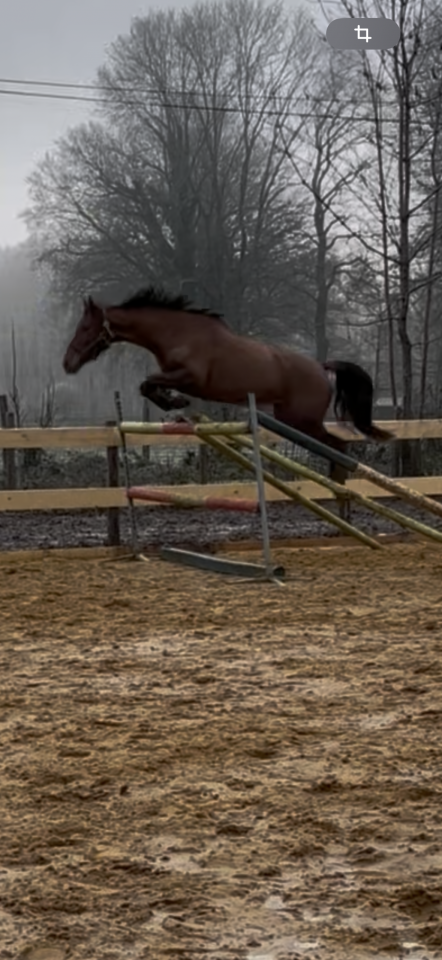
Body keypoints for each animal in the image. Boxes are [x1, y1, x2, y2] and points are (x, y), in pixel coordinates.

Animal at [62, 287, 393, 468]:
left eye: (85, 328)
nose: (68, 364)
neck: (176, 333)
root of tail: (321, 367)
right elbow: (147, 384)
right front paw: (172, 403)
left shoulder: (190, 377)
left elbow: (148, 382)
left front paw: (173, 402)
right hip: (291, 420)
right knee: (337, 447)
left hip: (304, 422)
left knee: (338, 447)